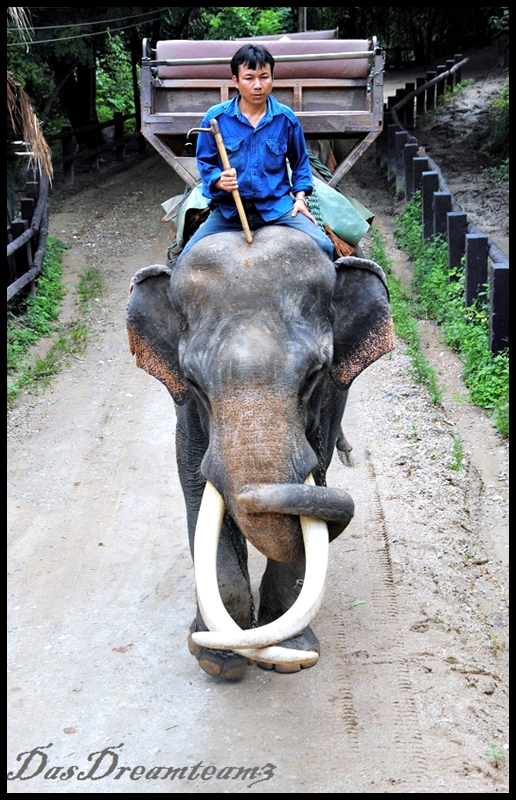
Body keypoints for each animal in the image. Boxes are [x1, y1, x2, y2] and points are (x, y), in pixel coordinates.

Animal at [126, 225, 396, 680]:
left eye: (315, 375)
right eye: (192, 382)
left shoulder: (325, 407)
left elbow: (310, 495)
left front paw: (290, 655)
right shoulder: (186, 414)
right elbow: (196, 489)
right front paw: (217, 660)